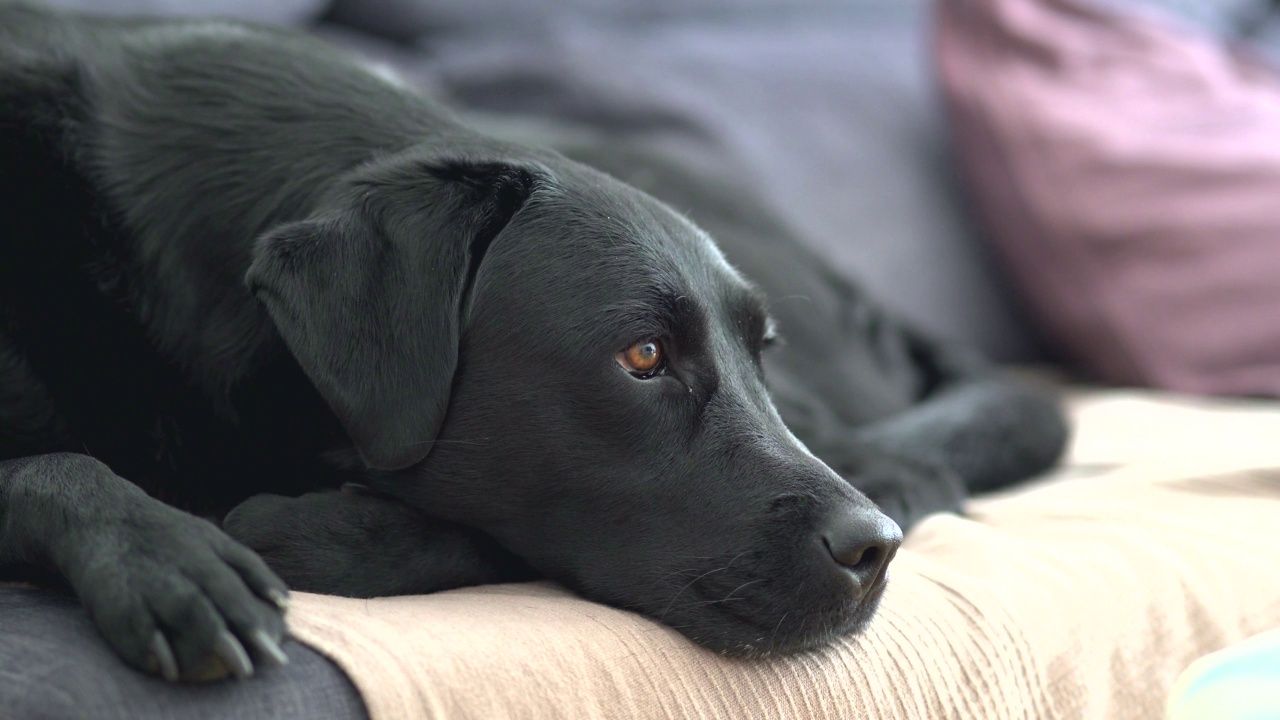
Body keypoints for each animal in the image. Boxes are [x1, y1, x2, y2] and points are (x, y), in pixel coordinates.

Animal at [0, 0, 1064, 681]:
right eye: (643, 358)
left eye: (761, 349)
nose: (873, 552)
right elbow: (53, 465)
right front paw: (167, 553)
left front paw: (293, 529)